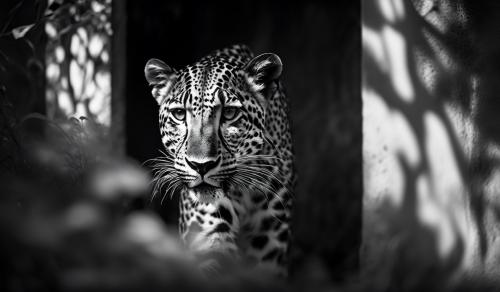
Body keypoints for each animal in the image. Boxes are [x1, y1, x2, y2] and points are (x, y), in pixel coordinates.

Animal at [143, 44, 294, 274]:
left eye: (230, 113)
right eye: (179, 114)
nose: (200, 165)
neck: (245, 189)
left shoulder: (270, 237)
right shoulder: (207, 229)